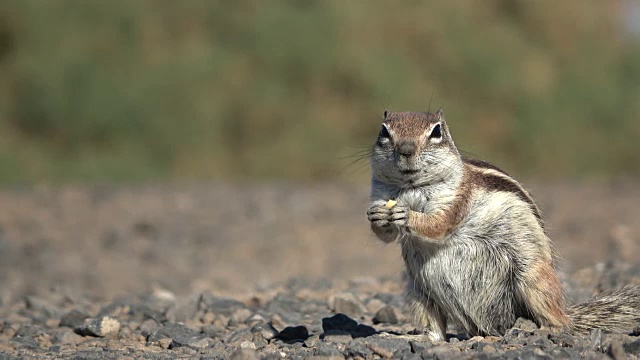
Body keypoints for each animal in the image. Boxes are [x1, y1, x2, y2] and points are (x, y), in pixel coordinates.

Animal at [364, 109, 640, 340]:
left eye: (436, 131)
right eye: (384, 131)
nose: (406, 149)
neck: (410, 188)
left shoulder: (457, 199)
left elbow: (439, 223)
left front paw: (407, 215)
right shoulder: (379, 191)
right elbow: (385, 234)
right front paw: (377, 216)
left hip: (533, 279)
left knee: (561, 322)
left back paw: (543, 329)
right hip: (418, 293)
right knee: (436, 332)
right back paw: (415, 337)